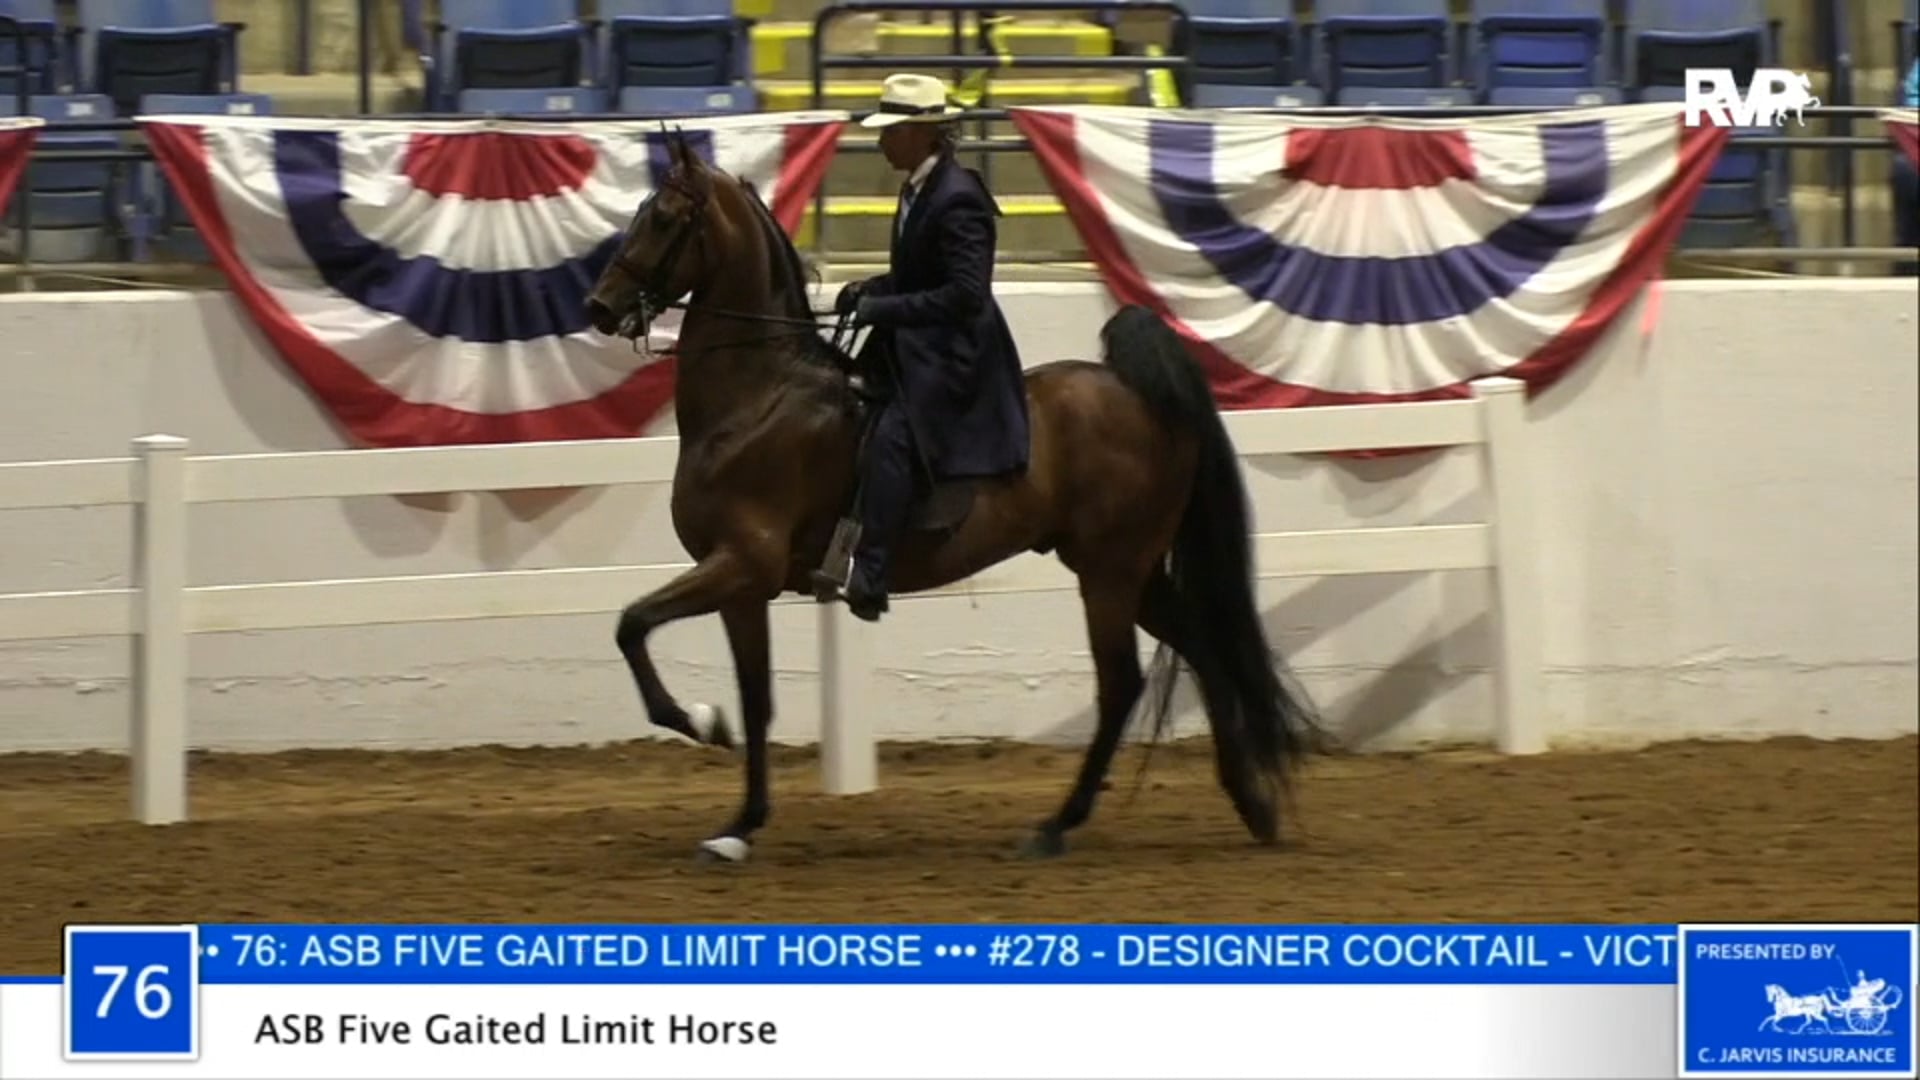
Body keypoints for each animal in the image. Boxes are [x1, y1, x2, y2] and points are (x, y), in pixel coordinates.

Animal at [582, 129, 1320, 862]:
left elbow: (631, 623)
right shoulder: (743, 584)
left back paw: (1058, 826)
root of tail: (1139, 392)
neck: (760, 396)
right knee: (1203, 649)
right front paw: (740, 824)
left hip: (1110, 573)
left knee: (1121, 685)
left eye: (664, 218)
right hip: (1133, 572)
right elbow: (755, 698)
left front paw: (697, 722)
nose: (599, 306)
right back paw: (1250, 804)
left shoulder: (742, 562)